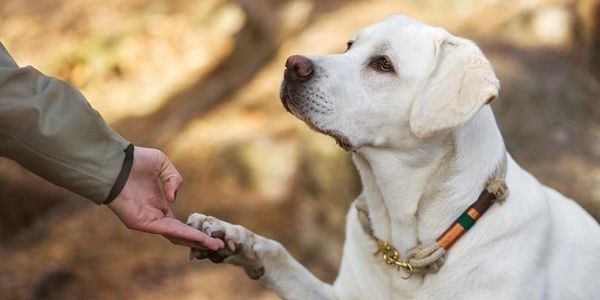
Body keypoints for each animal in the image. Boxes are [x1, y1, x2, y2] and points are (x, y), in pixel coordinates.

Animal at [188, 15, 600, 298]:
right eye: (349, 45)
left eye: (383, 64)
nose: (292, 65)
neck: (406, 240)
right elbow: (278, 253)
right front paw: (233, 237)